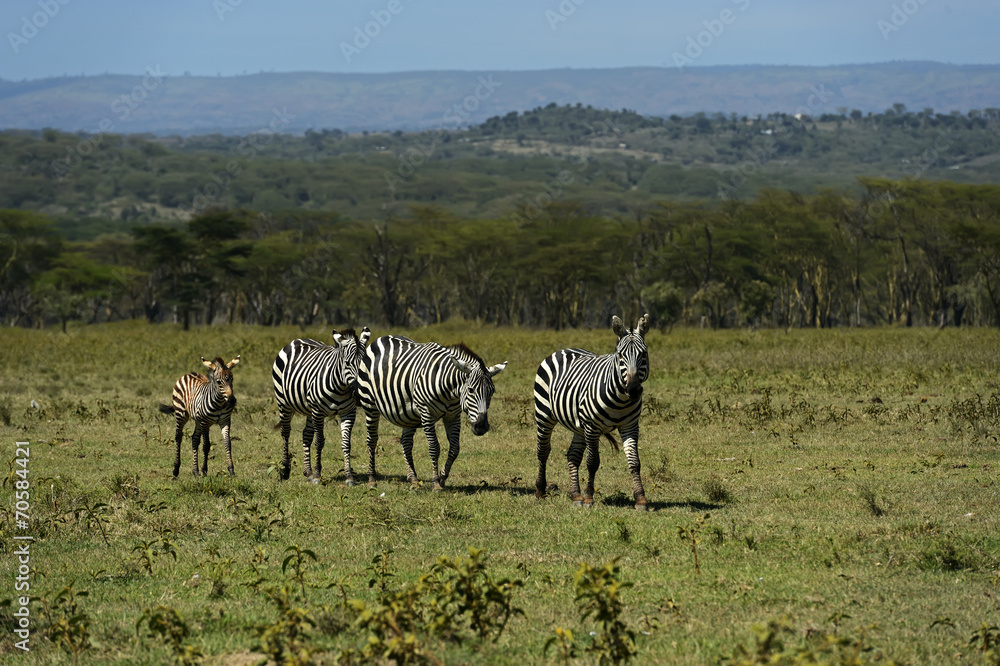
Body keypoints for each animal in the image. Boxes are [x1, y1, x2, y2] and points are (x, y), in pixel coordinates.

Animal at [271, 327, 372, 484]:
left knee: (306, 435)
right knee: (285, 432)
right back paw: (285, 470)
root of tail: (297, 340)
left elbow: (346, 444)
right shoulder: (318, 412)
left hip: (308, 410)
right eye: (347, 363)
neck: (341, 388)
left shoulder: (348, 412)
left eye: (364, 364)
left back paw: (308, 472)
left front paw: (349, 476)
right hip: (284, 403)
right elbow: (319, 442)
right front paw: (318, 474)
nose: (358, 396)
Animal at [356, 335, 507, 490]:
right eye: (471, 390)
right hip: (369, 404)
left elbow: (454, 449)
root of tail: (383, 337)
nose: (481, 426)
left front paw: (442, 477)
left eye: (492, 392)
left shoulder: (453, 416)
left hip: (408, 414)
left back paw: (413, 479)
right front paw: (436, 483)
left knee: (406, 442)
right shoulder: (426, 413)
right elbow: (434, 448)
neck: (451, 391)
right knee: (372, 440)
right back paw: (372, 479)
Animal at [533, 314, 651, 510]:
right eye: (620, 355)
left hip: (578, 426)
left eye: (643, 354)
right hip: (544, 414)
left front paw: (641, 499)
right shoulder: (592, 426)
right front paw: (589, 497)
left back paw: (576, 495)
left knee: (572, 455)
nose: (633, 390)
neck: (620, 399)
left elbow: (635, 462)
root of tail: (565, 349)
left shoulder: (630, 426)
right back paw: (540, 490)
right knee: (543, 451)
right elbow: (593, 462)